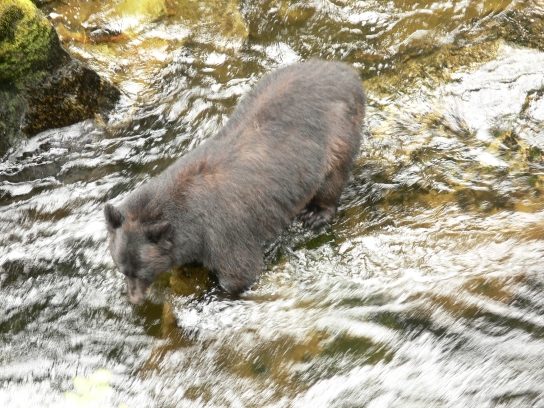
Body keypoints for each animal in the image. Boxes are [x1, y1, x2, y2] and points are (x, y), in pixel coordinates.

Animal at [104, 59, 366, 304]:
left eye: (142, 271)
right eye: (122, 269)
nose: (134, 298)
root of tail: (347, 72)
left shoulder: (222, 233)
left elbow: (239, 273)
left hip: (338, 136)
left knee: (332, 179)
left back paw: (316, 214)